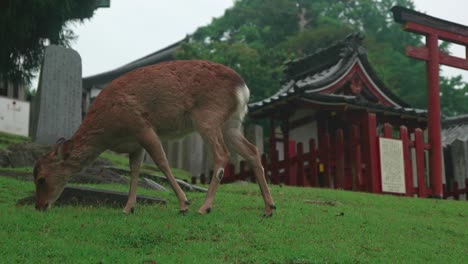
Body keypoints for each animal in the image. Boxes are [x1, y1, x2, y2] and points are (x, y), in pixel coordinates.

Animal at [34, 60, 276, 217]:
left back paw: (204, 207)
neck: (109, 133)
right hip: (232, 123)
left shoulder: (142, 126)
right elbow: (134, 170)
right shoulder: (134, 144)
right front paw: (128, 207)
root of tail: (243, 88)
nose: (39, 206)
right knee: (252, 151)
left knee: (222, 154)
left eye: (41, 179)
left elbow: (161, 162)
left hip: (208, 116)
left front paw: (184, 203)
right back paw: (269, 208)